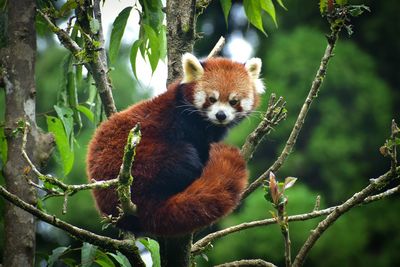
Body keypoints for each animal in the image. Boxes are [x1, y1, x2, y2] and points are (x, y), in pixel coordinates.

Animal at [86, 52, 264, 237]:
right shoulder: (185, 124)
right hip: (143, 163)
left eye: (233, 101)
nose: (221, 115)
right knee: (184, 158)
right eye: (211, 99)